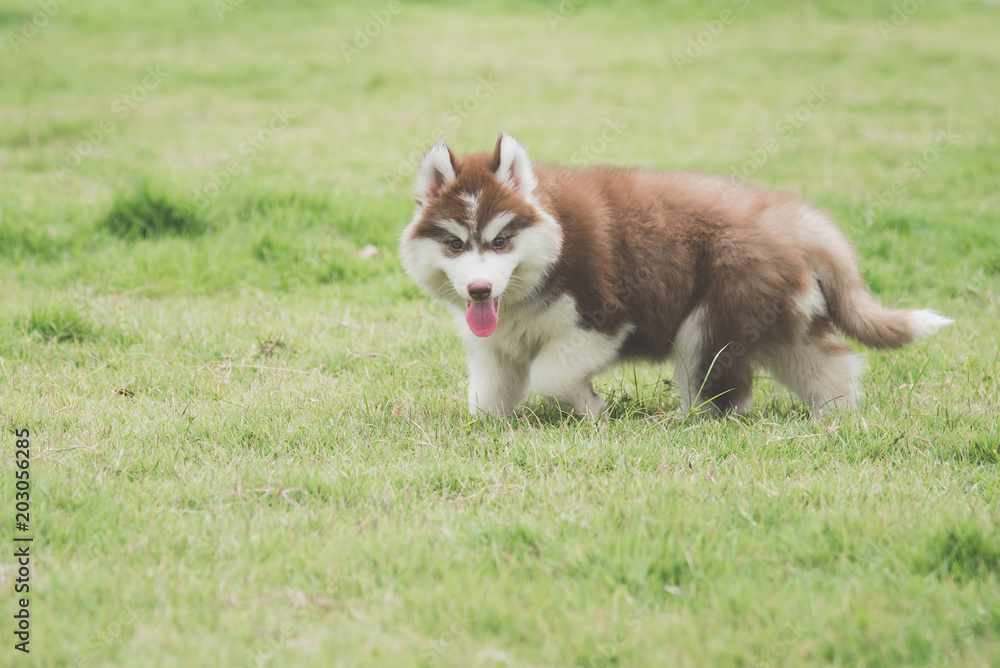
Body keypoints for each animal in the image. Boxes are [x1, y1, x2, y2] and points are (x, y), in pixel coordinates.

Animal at [400, 134, 952, 418]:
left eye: (500, 241)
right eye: (455, 244)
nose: (479, 289)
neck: (550, 250)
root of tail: (792, 218)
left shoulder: (604, 320)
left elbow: (550, 375)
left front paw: (591, 407)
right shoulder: (498, 344)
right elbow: (486, 397)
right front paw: (498, 424)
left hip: (709, 324)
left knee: (723, 392)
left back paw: (685, 422)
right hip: (778, 319)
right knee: (832, 364)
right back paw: (838, 419)